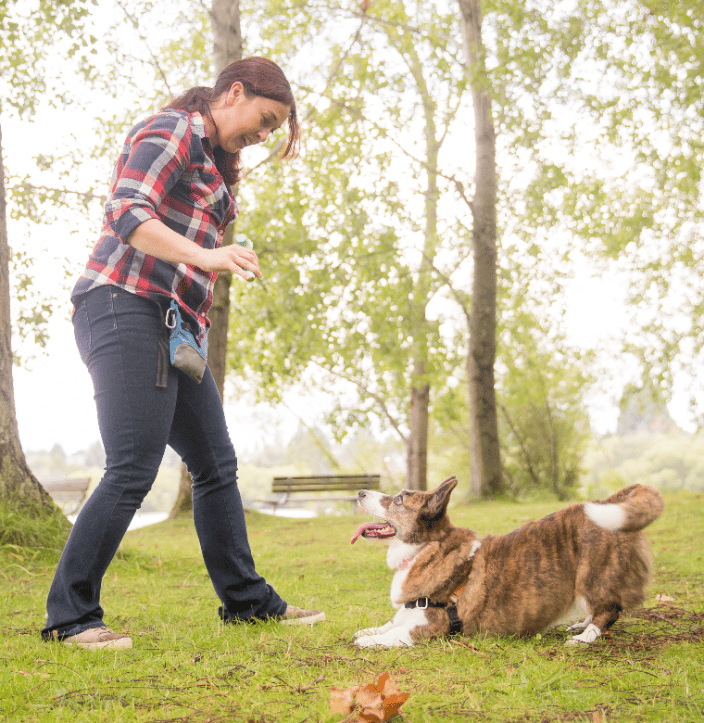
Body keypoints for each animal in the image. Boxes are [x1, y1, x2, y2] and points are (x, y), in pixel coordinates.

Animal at [352, 478, 664, 648]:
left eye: (399, 500)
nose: (360, 493)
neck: (424, 549)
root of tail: (610, 500)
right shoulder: (404, 615)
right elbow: (386, 625)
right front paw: (367, 631)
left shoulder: (427, 627)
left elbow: (393, 634)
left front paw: (366, 641)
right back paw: (580, 626)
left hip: (591, 575)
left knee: (609, 611)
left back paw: (585, 637)